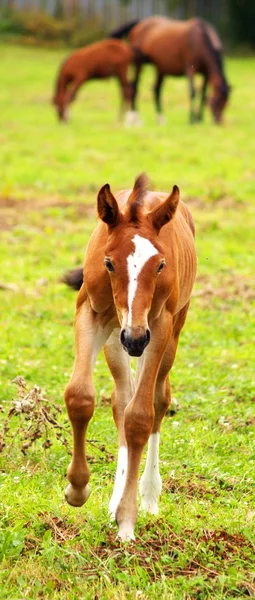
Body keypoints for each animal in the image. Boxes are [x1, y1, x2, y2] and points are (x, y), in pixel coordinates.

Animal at [62, 172, 196, 540]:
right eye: (108, 263)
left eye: (161, 264)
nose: (135, 339)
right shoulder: (91, 314)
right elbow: (81, 397)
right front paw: (77, 489)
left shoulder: (158, 327)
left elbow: (140, 417)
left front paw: (127, 520)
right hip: (114, 338)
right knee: (121, 399)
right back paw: (115, 497)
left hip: (168, 334)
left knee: (159, 400)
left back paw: (148, 496)